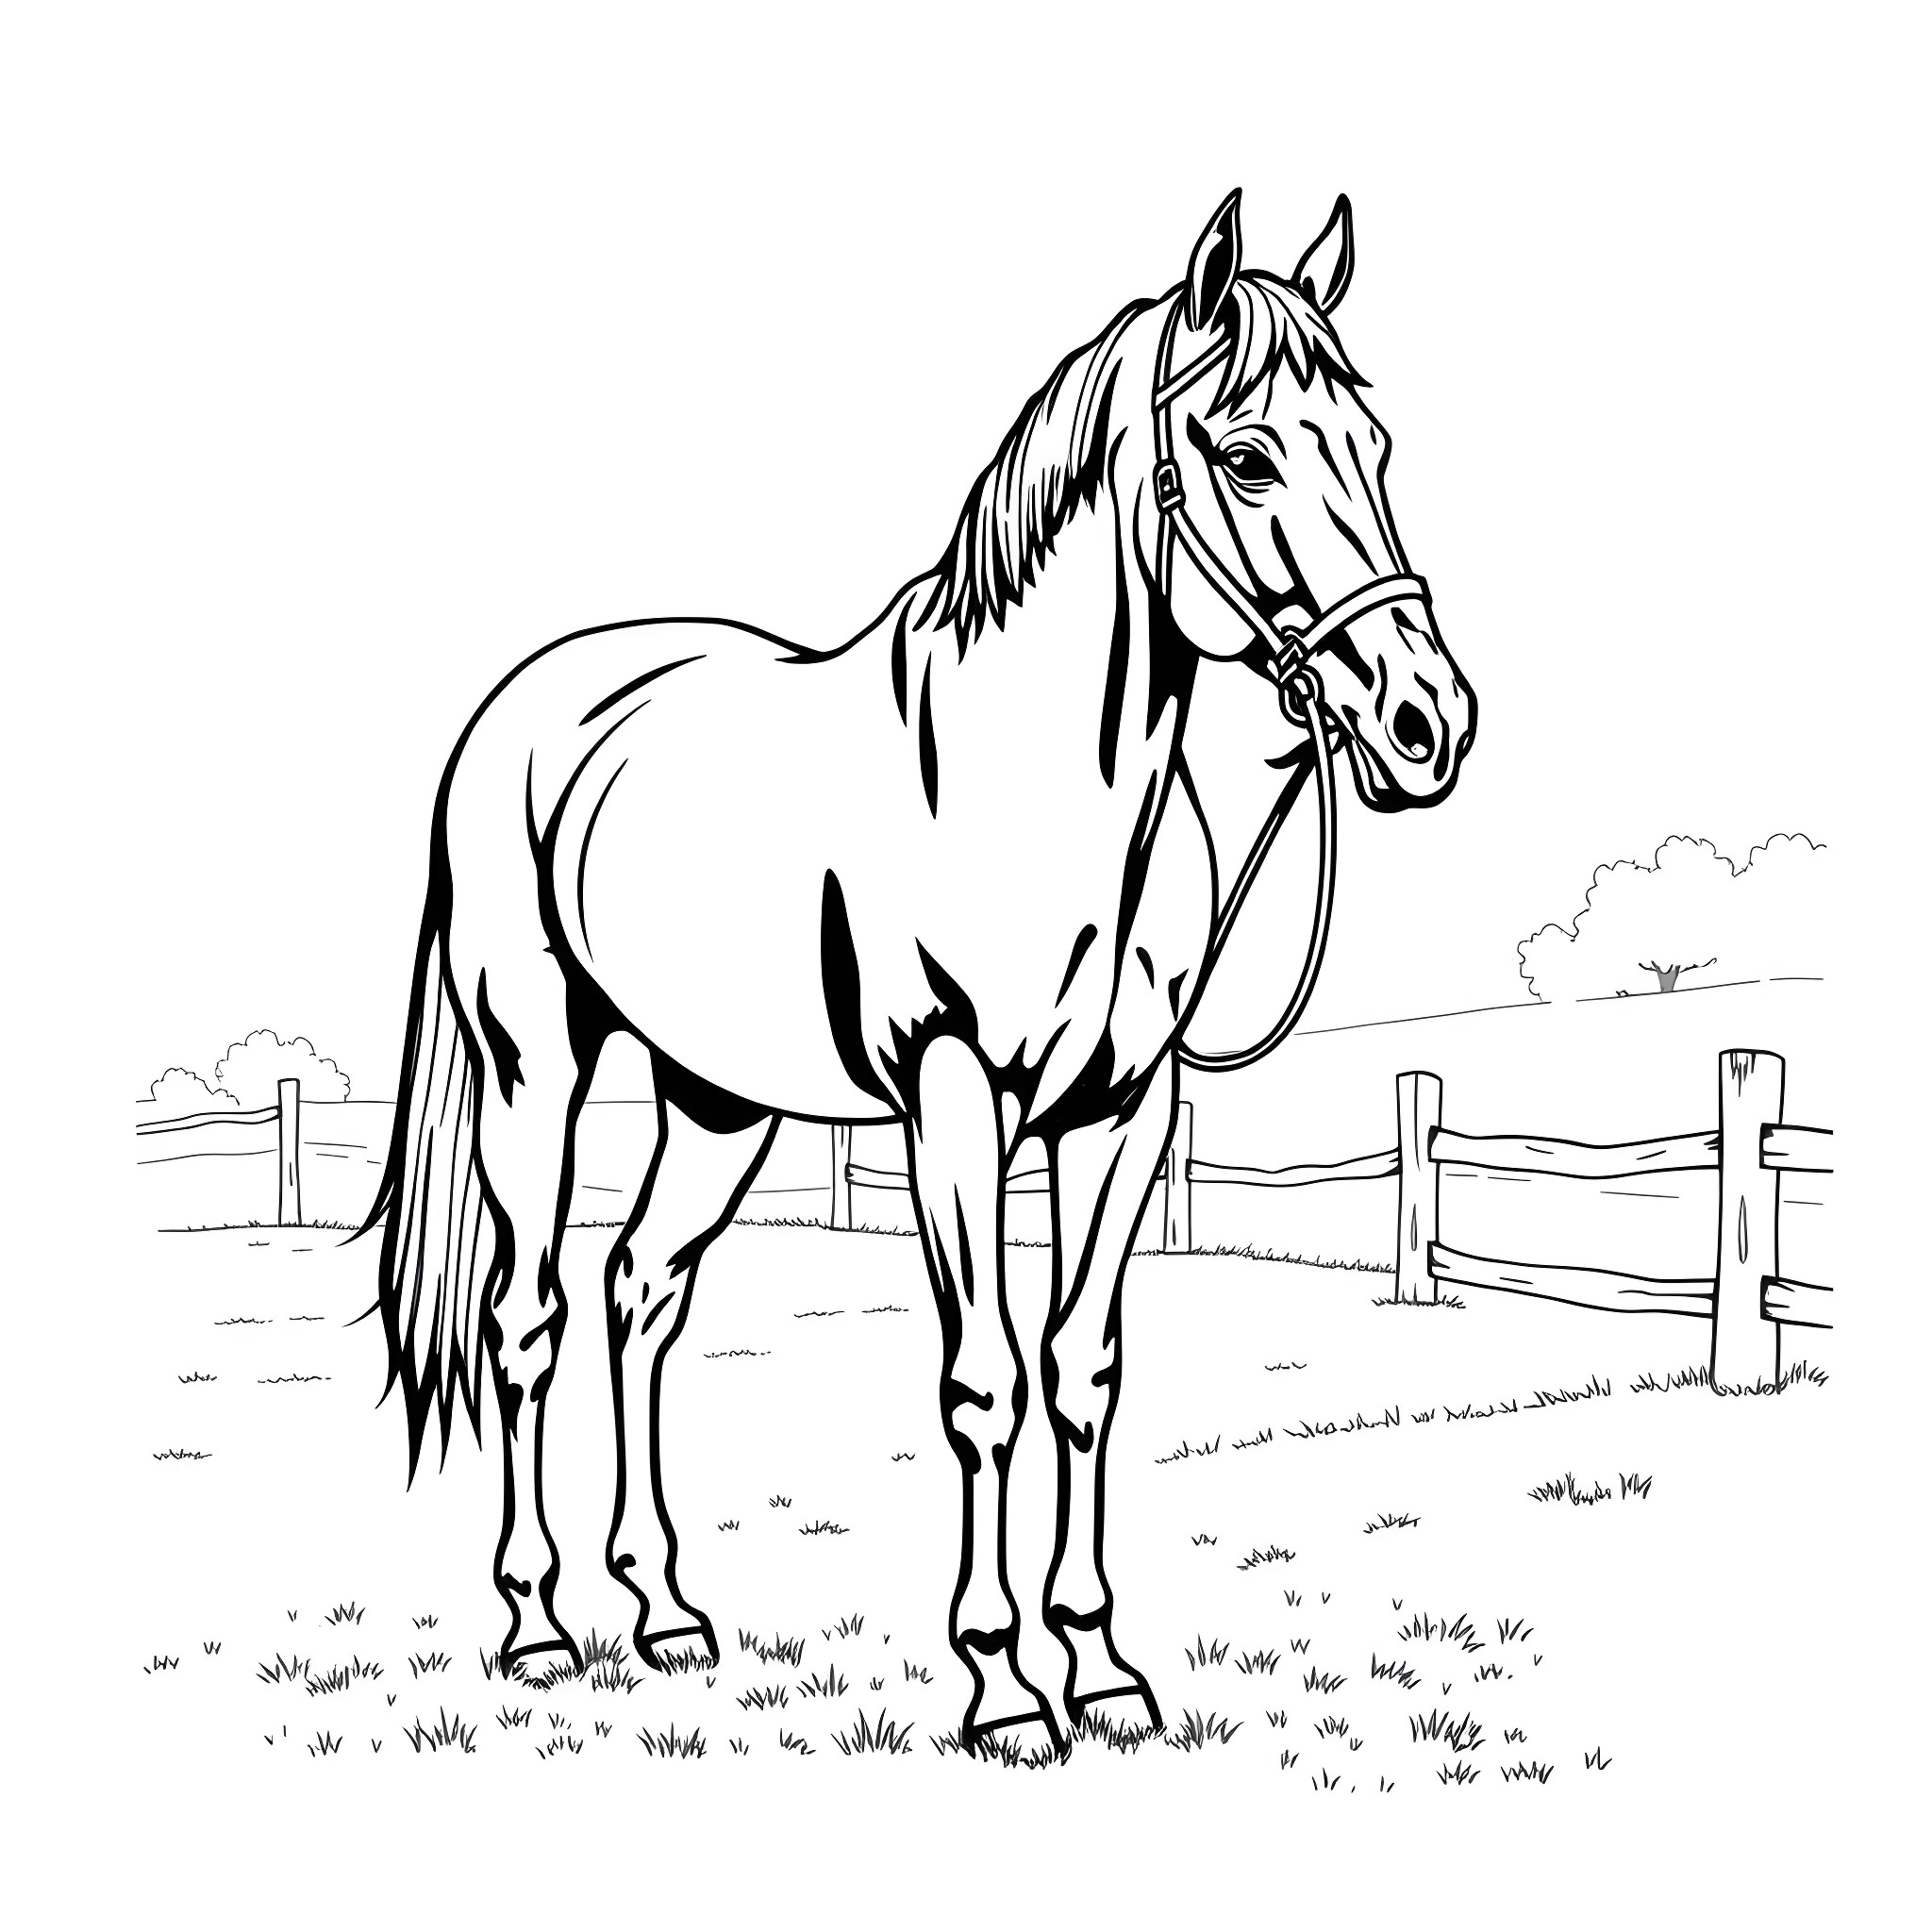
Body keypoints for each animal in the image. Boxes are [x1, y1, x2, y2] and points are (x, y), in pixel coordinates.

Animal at [368, 188, 1476, 1751]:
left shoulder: (1120, 1114)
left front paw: (1105, 1668)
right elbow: (985, 1383)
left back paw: (664, 1612)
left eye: (1374, 447)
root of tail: (527, 704)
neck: (1031, 786)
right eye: (1249, 454)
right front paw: (1004, 1687)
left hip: (719, 1107)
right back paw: (534, 1626)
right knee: (527, 1321)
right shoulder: (956, 1101)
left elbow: (1081, 1373)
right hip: (533, 1069)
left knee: (641, 1297)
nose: (1429, 721)